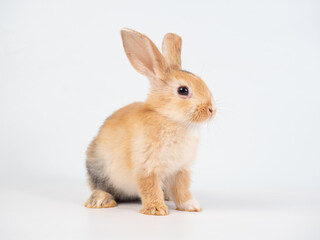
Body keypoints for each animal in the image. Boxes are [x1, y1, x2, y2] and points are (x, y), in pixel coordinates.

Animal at [84, 28, 216, 216]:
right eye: (183, 90)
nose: (212, 109)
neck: (169, 118)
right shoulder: (147, 166)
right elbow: (150, 187)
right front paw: (156, 210)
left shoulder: (180, 170)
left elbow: (182, 189)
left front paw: (191, 206)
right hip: (100, 169)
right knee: (101, 187)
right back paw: (101, 200)